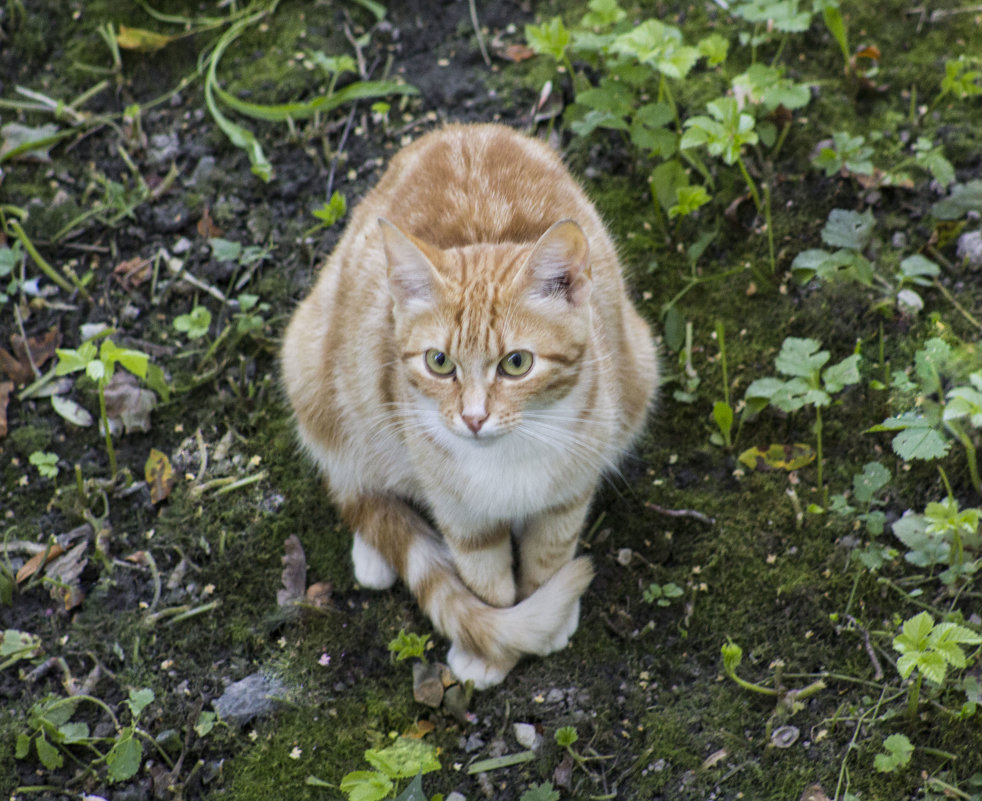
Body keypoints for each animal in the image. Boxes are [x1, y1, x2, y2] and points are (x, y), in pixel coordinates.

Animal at [280, 125, 656, 688]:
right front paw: (493, 647)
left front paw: (547, 618)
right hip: (314, 371)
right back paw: (374, 549)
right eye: (439, 362)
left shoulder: (567, 498)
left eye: (517, 363)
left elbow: (548, 561)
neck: (510, 456)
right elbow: (485, 585)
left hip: (641, 365)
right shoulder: (461, 515)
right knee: (356, 481)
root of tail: (459, 129)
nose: (473, 418)